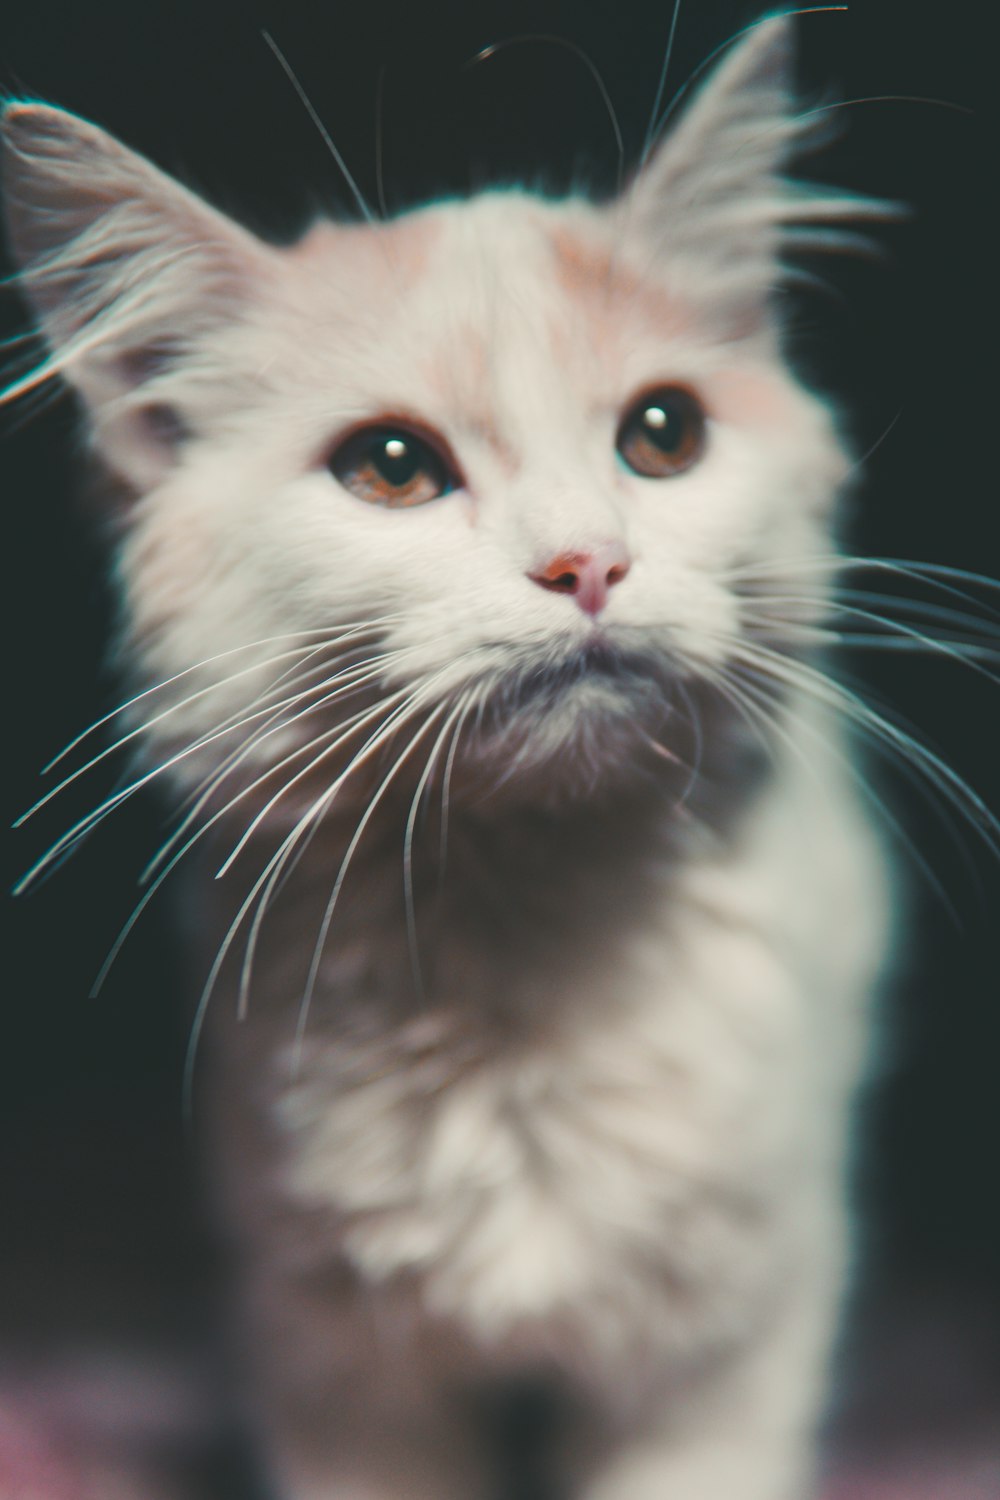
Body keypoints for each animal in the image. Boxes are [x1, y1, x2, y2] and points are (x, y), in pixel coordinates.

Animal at [1, 14, 899, 1500]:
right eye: (391, 467)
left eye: (664, 434)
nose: (588, 564)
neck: (521, 936)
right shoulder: (334, 1365)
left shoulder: (723, 1354)